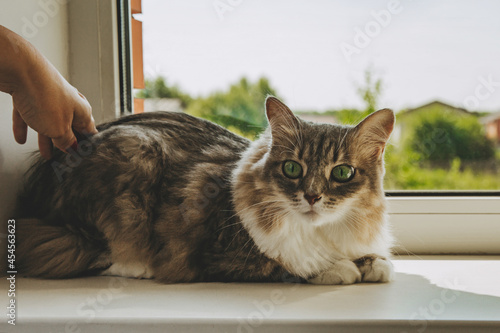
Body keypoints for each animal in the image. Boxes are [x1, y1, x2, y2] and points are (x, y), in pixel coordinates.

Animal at [15, 95, 396, 282]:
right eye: (292, 168)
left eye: (342, 173)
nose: (313, 196)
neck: (317, 232)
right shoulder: (221, 257)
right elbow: (289, 264)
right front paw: (339, 268)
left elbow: (371, 257)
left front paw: (372, 263)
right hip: (134, 162)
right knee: (101, 256)